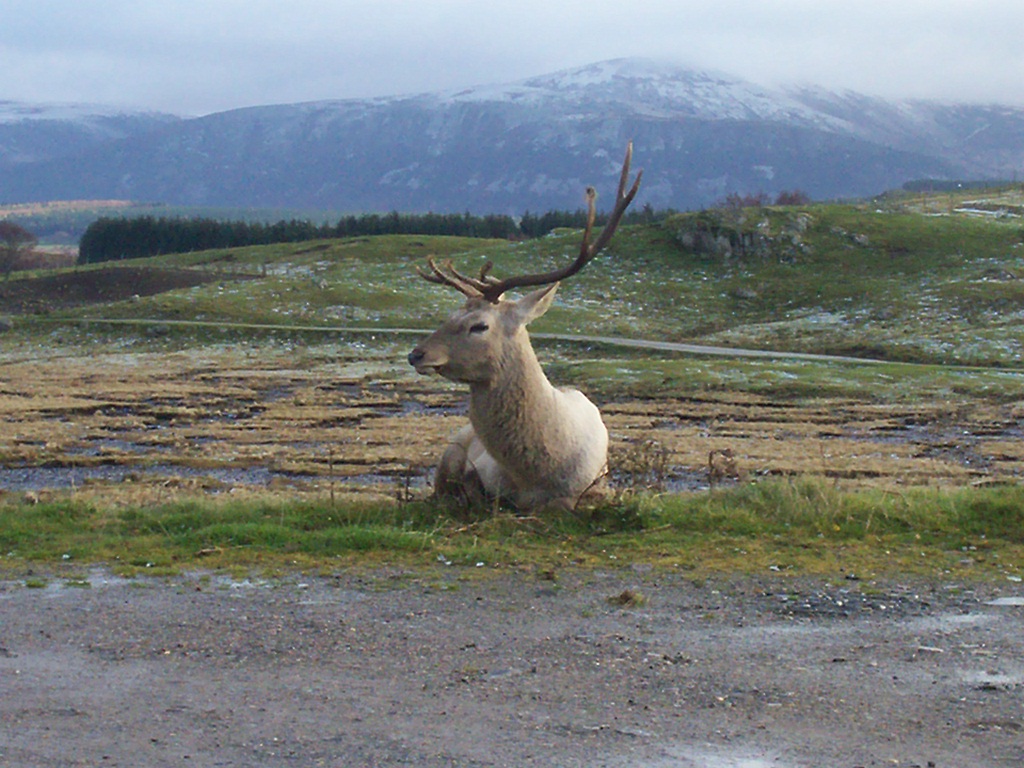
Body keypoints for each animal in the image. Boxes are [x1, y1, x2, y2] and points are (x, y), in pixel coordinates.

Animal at [407, 143, 642, 512]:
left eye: (479, 326)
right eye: (449, 314)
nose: (416, 354)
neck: (542, 474)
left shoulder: (595, 486)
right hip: (451, 448)